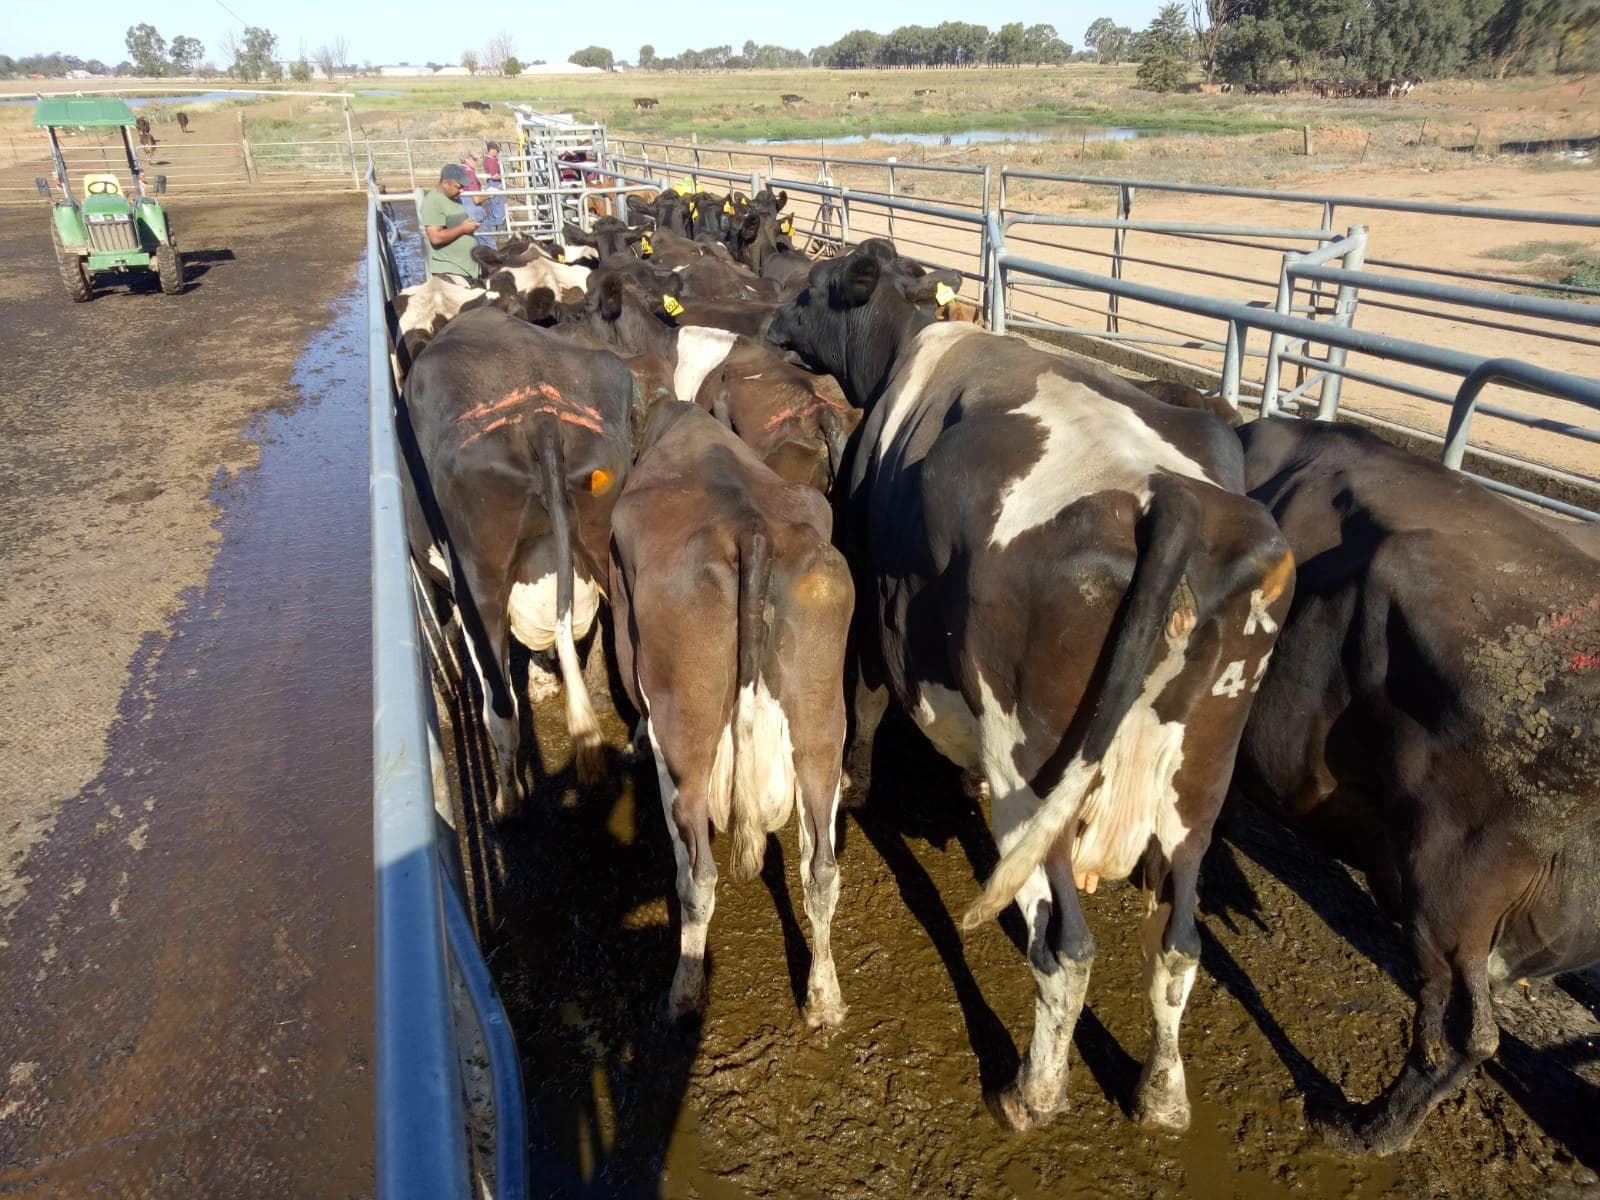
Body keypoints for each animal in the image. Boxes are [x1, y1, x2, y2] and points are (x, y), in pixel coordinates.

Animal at [403, 307, 642, 815]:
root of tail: (540, 415)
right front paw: (544, 679)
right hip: (615, 560)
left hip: (481, 585)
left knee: (501, 707)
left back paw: (507, 801)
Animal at [610, 400, 855, 1023]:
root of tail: (751, 528)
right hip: (821, 721)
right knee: (821, 868)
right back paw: (824, 1000)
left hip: (688, 732)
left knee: (697, 874)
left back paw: (684, 992)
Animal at [767, 240, 1295, 1133]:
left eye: (812, 288)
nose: (770, 318)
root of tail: (1171, 498)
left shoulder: (874, 607)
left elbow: (866, 707)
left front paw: (860, 781)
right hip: (1199, 784)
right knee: (1177, 947)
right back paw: (1162, 1098)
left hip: (1035, 771)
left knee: (1066, 948)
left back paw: (1031, 1094)